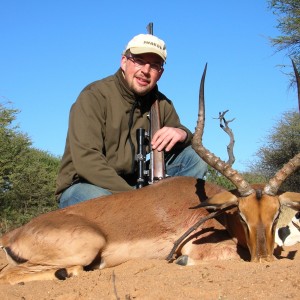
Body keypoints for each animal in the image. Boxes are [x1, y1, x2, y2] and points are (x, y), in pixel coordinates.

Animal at [0, 63, 300, 284]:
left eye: (276, 215)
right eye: (241, 214)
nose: (263, 260)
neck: (212, 213)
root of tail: (12, 235)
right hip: (86, 246)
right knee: (12, 275)